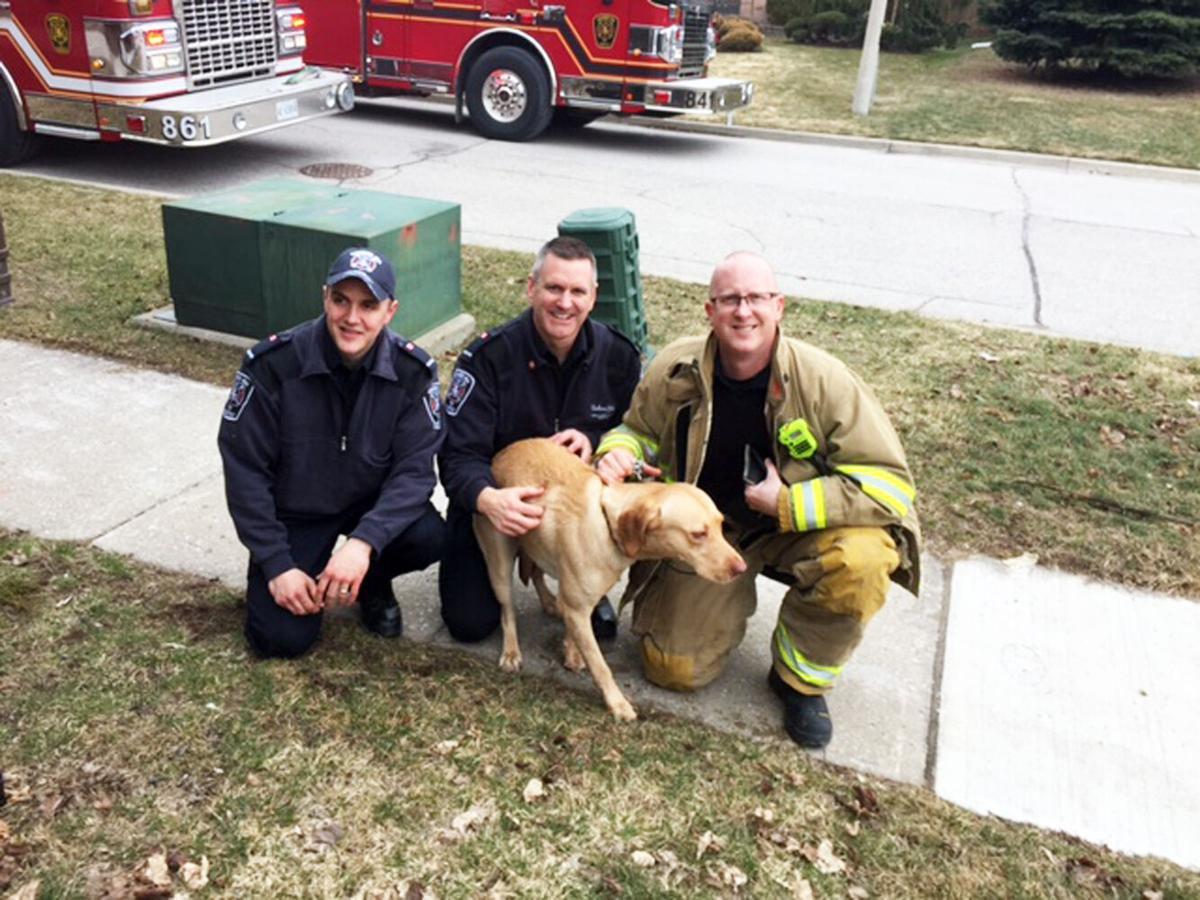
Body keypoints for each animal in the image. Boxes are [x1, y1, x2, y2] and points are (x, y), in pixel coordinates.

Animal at [472, 441, 744, 724]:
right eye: (698, 534)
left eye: (721, 525)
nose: (741, 568)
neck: (607, 522)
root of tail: (500, 456)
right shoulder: (577, 608)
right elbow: (601, 666)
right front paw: (617, 703)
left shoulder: (579, 605)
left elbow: (574, 632)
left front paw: (572, 652)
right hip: (500, 564)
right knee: (507, 610)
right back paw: (511, 651)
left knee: (536, 572)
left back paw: (548, 601)